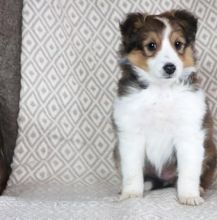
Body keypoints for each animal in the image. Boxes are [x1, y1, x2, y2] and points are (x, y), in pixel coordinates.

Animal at [112, 9, 216, 206]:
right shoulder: (131, 133)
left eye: (178, 44)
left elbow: (189, 171)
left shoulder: (188, 133)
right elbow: (132, 170)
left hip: (209, 152)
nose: (170, 68)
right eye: (151, 45)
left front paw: (189, 196)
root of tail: (165, 178)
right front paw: (131, 194)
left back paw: (199, 189)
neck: (161, 91)